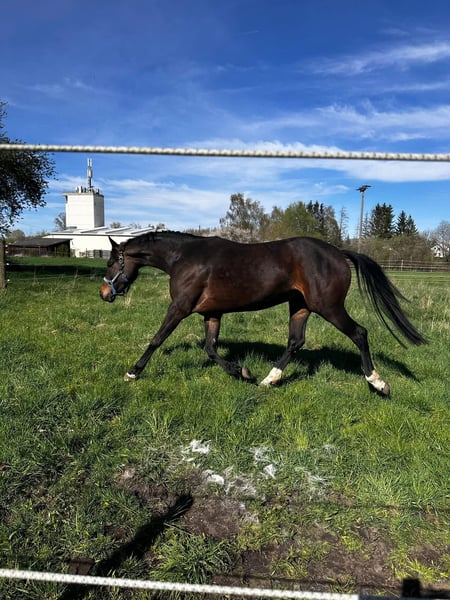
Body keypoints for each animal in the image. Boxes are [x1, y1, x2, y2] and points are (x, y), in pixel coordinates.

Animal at [100, 231, 426, 394]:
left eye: (111, 263)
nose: (104, 294)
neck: (184, 258)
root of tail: (338, 253)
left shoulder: (179, 308)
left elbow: (157, 339)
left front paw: (132, 372)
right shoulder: (212, 313)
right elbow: (211, 349)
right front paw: (241, 371)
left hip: (328, 307)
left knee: (359, 333)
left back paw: (377, 382)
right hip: (300, 307)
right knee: (295, 342)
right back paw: (270, 379)